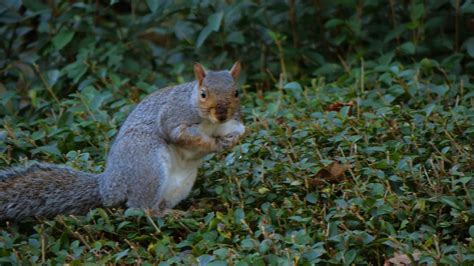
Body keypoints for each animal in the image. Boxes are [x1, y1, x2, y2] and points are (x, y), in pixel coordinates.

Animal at [0, 62, 244, 220]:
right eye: (203, 94)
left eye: (236, 93)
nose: (222, 114)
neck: (211, 124)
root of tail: (108, 186)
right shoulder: (174, 116)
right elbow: (179, 135)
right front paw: (215, 144)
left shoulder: (235, 122)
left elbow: (241, 131)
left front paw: (231, 141)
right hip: (147, 164)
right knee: (139, 208)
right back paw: (169, 214)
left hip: (179, 184)